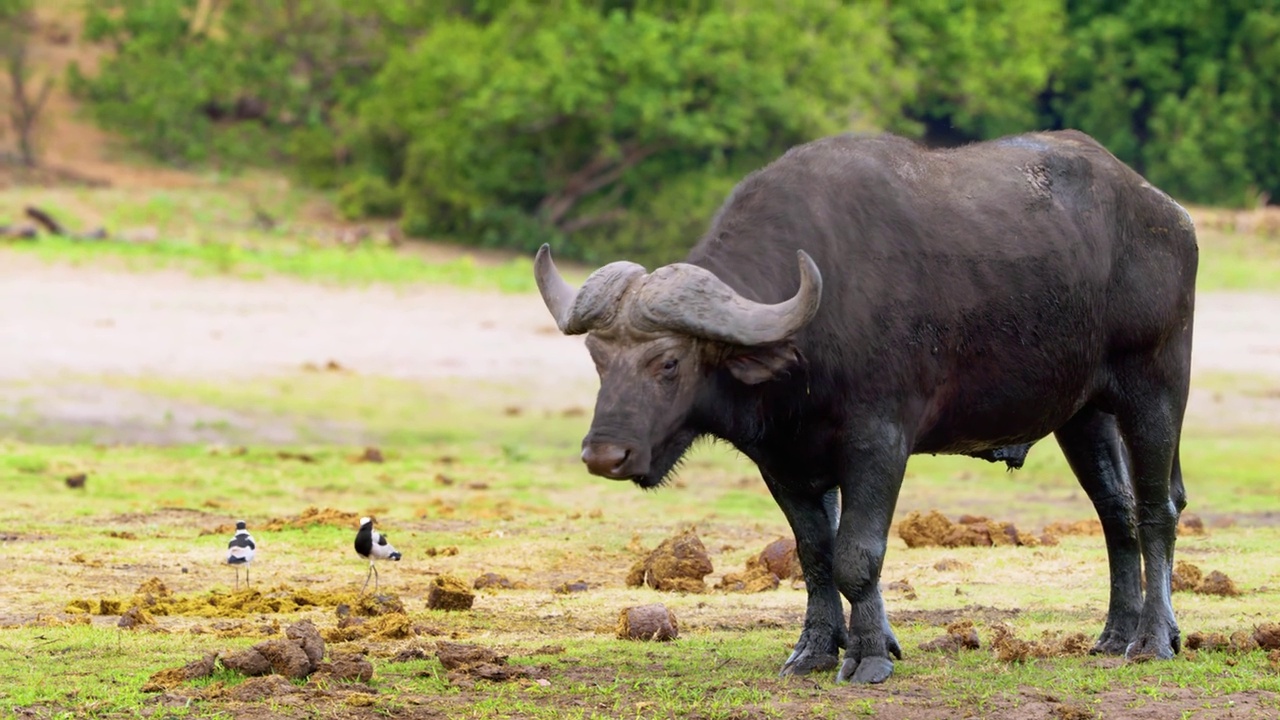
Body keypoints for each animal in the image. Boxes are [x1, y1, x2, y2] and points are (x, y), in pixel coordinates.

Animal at [535, 128, 1192, 681]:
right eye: (598, 355)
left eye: (669, 362)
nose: (605, 454)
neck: (811, 332)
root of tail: (1168, 214)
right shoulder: (784, 461)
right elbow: (816, 556)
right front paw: (817, 650)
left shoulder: (879, 443)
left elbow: (857, 553)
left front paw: (869, 657)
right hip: (1083, 416)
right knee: (1116, 513)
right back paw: (1115, 633)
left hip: (1157, 387)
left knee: (1157, 510)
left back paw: (1153, 639)